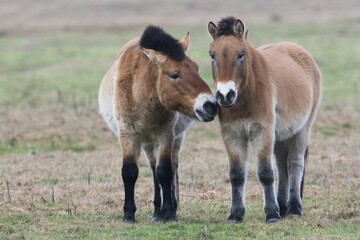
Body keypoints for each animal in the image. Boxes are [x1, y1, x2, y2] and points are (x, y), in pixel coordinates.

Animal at [97, 25, 219, 222]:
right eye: (174, 75)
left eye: (196, 68)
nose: (211, 105)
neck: (141, 93)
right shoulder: (127, 135)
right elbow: (130, 172)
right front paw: (129, 214)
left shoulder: (166, 135)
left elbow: (165, 172)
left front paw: (169, 213)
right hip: (147, 142)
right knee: (153, 169)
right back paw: (156, 212)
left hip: (174, 140)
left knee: (169, 168)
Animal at [207, 16, 322, 223]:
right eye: (212, 54)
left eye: (241, 54)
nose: (225, 95)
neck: (246, 95)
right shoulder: (232, 134)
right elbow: (237, 174)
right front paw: (235, 214)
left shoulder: (262, 132)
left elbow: (266, 173)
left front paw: (272, 214)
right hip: (281, 136)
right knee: (283, 168)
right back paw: (283, 207)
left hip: (302, 130)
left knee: (295, 164)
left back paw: (294, 208)